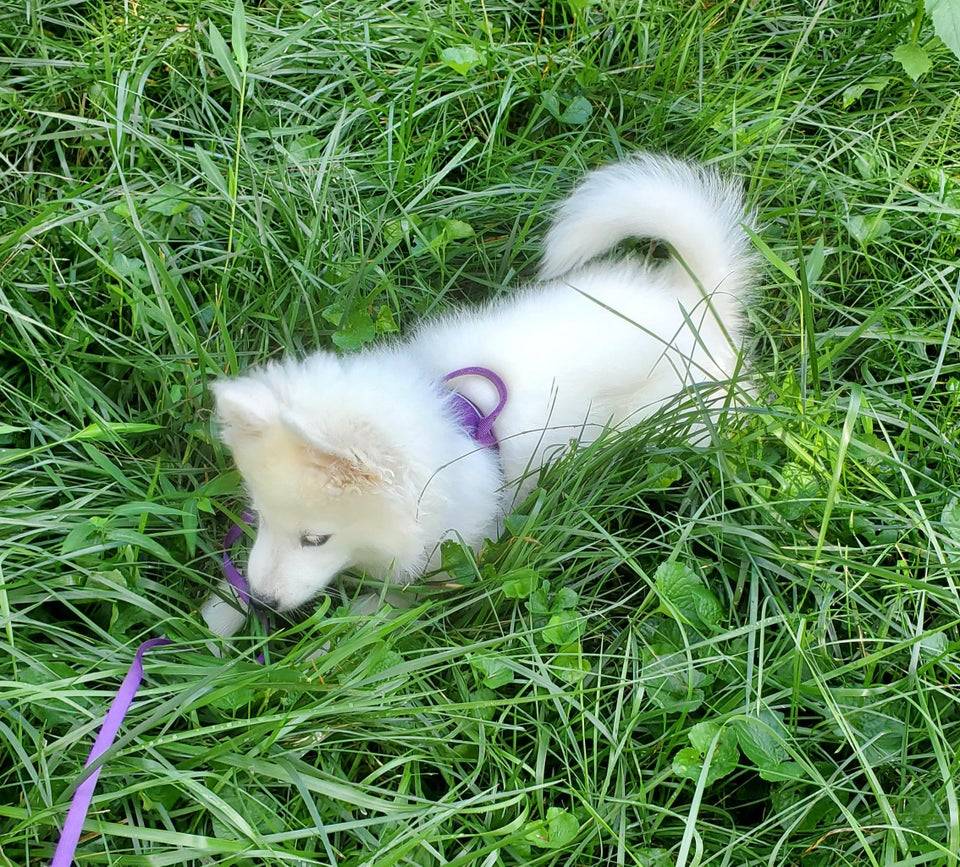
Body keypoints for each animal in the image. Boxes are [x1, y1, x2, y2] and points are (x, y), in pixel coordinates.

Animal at [204, 153, 756, 636]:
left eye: (315, 538)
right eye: (261, 518)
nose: (265, 604)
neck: (457, 421)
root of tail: (692, 299)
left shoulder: (447, 560)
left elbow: (369, 624)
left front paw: (308, 658)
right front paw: (215, 626)